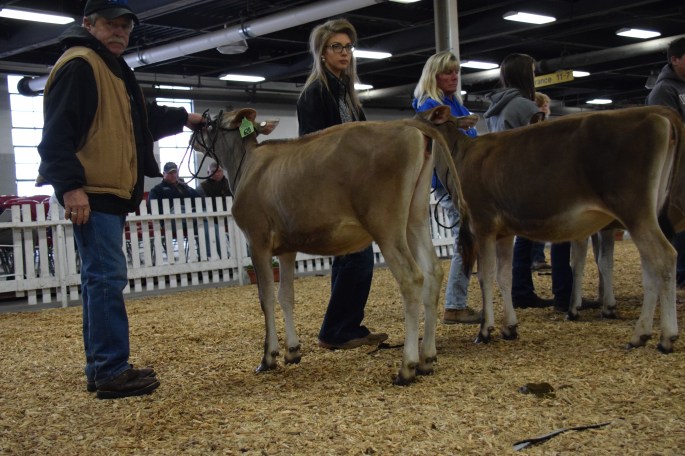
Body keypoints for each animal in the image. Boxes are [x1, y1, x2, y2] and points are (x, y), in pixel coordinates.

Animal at [192, 108, 473, 385]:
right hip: (415, 217)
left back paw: (407, 368)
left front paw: (268, 357)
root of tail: (407, 124)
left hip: (386, 224)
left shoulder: (257, 240)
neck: (247, 165)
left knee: (412, 278)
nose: (193, 131)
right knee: (433, 272)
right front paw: (292, 351)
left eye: (211, 121)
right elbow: (286, 295)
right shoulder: (286, 248)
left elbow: (267, 298)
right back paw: (427, 359)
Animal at [419, 105, 684, 353]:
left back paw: (665, 337)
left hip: (634, 210)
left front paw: (485, 330)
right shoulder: (504, 232)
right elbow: (505, 276)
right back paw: (642, 334)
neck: (461, 155)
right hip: (646, 214)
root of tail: (658, 117)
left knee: (665, 257)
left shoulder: (483, 225)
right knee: (650, 266)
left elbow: (486, 276)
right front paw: (509, 327)